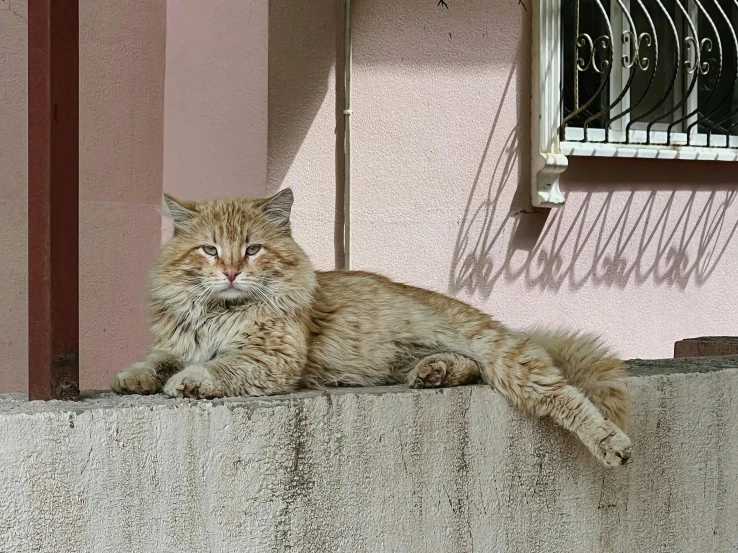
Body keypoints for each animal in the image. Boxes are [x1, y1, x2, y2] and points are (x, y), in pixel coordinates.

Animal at [112, 189, 628, 466]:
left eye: (254, 249)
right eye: (210, 250)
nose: (233, 272)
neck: (221, 312)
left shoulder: (270, 357)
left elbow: (218, 367)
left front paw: (190, 382)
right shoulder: (177, 343)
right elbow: (156, 361)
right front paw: (132, 378)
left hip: (502, 353)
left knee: (564, 397)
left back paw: (612, 444)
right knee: (469, 369)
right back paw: (434, 372)